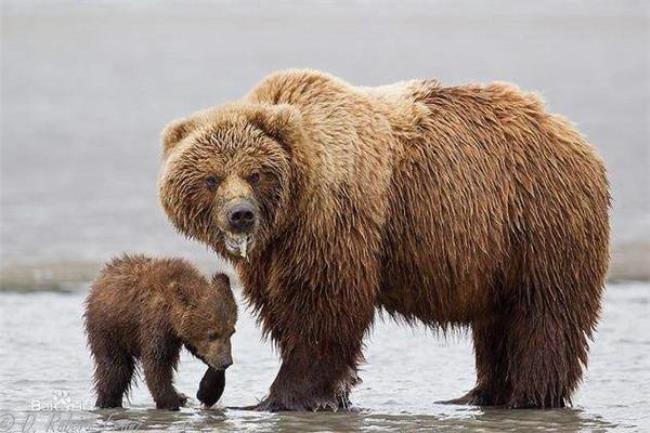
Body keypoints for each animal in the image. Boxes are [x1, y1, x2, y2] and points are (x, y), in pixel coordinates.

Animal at [157, 69, 608, 410]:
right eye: (211, 178)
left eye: (255, 173)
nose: (241, 215)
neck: (297, 202)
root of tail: (570, 131)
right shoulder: (275, 252)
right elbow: (281, 309)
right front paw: (329, 395)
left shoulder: (334, 222)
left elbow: (322, 308)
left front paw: (280, 397)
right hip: (498, 251)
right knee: (497, 321)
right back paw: (481, 394)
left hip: (538, 219)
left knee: (543, 314)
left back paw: (528, 396)